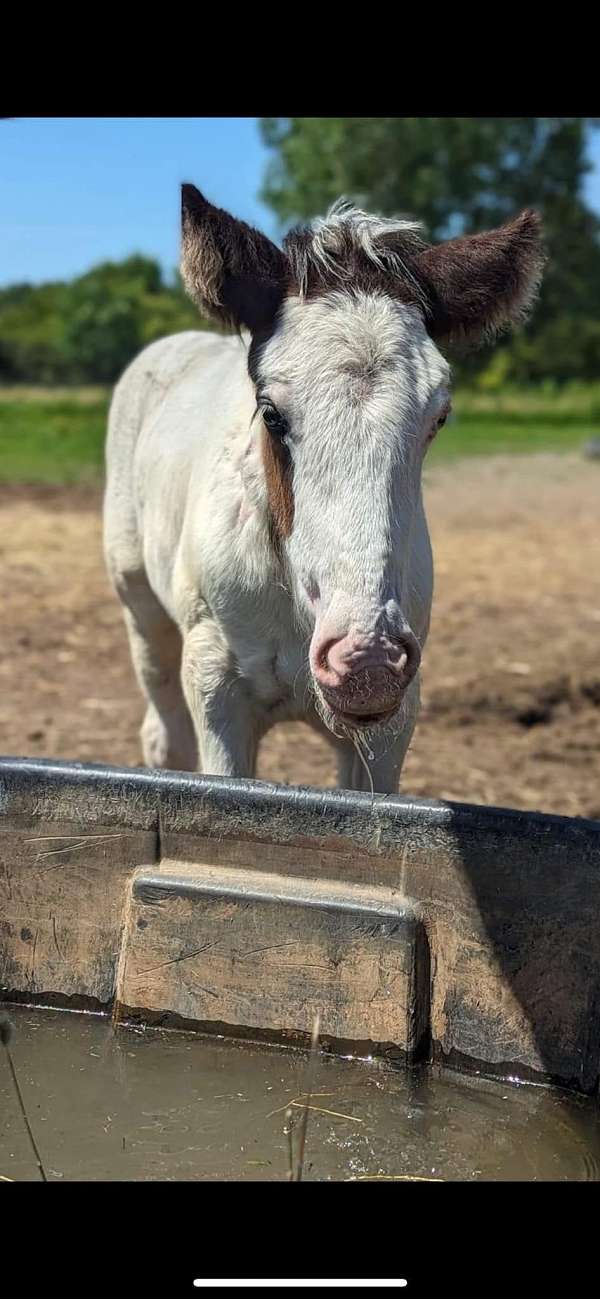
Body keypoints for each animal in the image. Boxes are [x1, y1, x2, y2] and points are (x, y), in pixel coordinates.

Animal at [103, 183, 542, 789]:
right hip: (140, 607)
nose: (367, 662)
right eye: (270, 413)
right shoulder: (214, 684)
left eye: (439, 417)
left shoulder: (391, 720)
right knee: (164, 733)